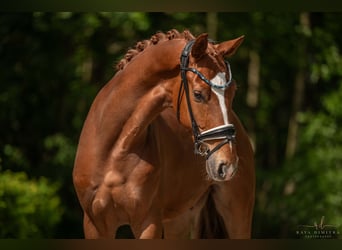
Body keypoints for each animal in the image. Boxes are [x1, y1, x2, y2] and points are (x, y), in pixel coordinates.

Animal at [71, 28, 254, 238]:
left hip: (237, 217)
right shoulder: (95, 225)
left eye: (233, 92)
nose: (227, 165)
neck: (114, 149)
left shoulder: (148, 222)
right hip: (179, 220)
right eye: (198, 94)